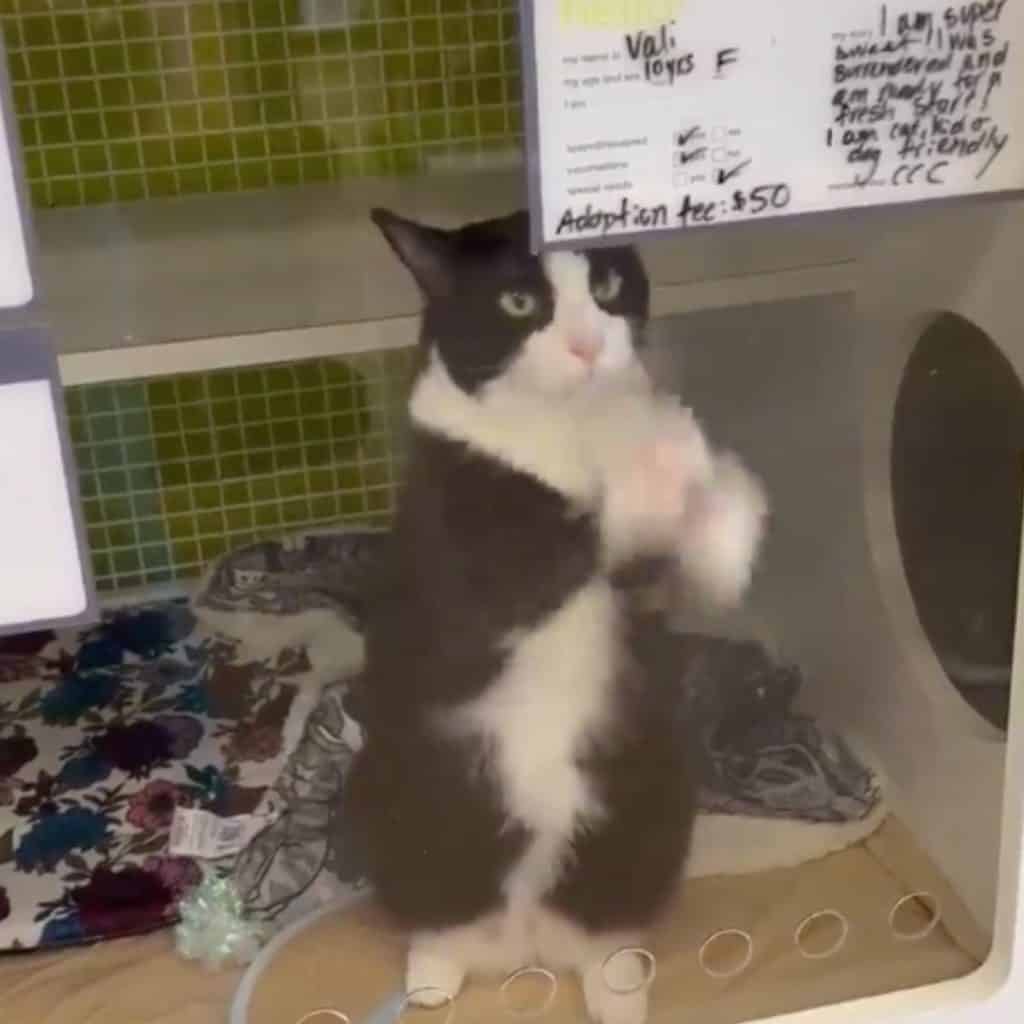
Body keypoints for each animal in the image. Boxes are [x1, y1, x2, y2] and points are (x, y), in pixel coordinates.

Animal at [341, 209, 767, 1024]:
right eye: (517, 302)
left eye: (606, 283)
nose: (587, 344)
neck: (570, 431)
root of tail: (525, 942)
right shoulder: (459, 538)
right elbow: (550, 555)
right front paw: (665, 457)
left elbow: (678, 574)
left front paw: (727, 511)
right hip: (391, 802)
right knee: (433, 912)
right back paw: (432, 973)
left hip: (650, 808)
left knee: (607, 924)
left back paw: (617, 983)